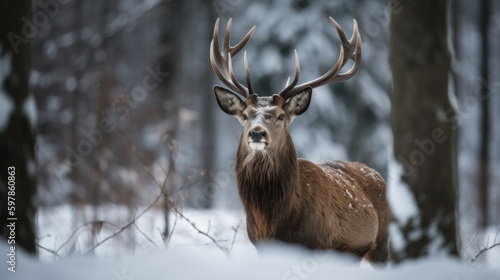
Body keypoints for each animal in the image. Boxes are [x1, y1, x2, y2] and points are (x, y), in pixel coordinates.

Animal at [209, 17, 392, 262]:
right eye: (245, 115)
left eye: (281, 115)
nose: (256, 132)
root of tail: (376, 174)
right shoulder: (261, 246)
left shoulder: (315, 244)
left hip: (381, 242)